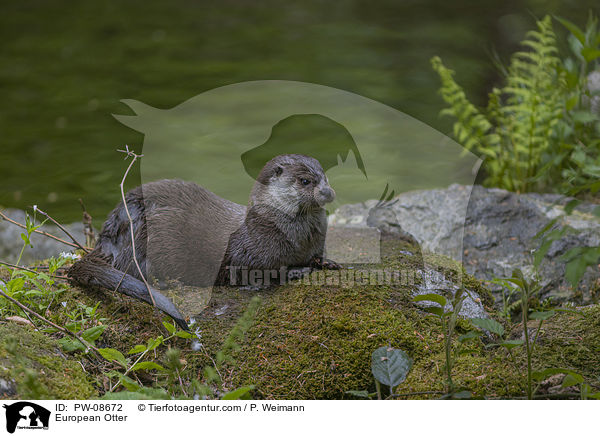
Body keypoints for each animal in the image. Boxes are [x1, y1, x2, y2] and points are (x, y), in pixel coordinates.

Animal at [68, 155, 340, 328]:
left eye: (325, 177)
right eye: (305, 181)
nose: (329, 192)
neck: (296, 238)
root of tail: (111, 233)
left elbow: (318, 257)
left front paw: (326, 263)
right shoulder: (248, 252)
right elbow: (258, 271)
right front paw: (296, 270)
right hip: (146, 237)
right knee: (131, 268)